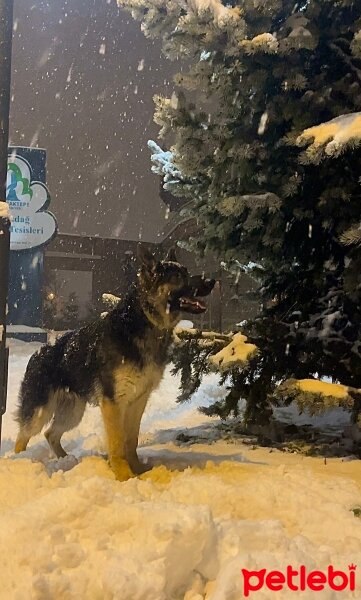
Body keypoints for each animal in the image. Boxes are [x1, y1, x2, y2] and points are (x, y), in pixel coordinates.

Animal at [14, 246, 214, 480]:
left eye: (186, 271)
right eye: (178, 276)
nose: (212, 281)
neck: (144, 322)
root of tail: (37, 353)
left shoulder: (138, 400)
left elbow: (131, 439)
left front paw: (137, 469)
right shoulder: (114, 402)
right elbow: (117, 441)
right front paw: (123, 475)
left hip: (72, 412)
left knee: (50, 433)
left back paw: (66, 459)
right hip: (40, 412)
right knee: (23, 435)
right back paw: (19, 461)